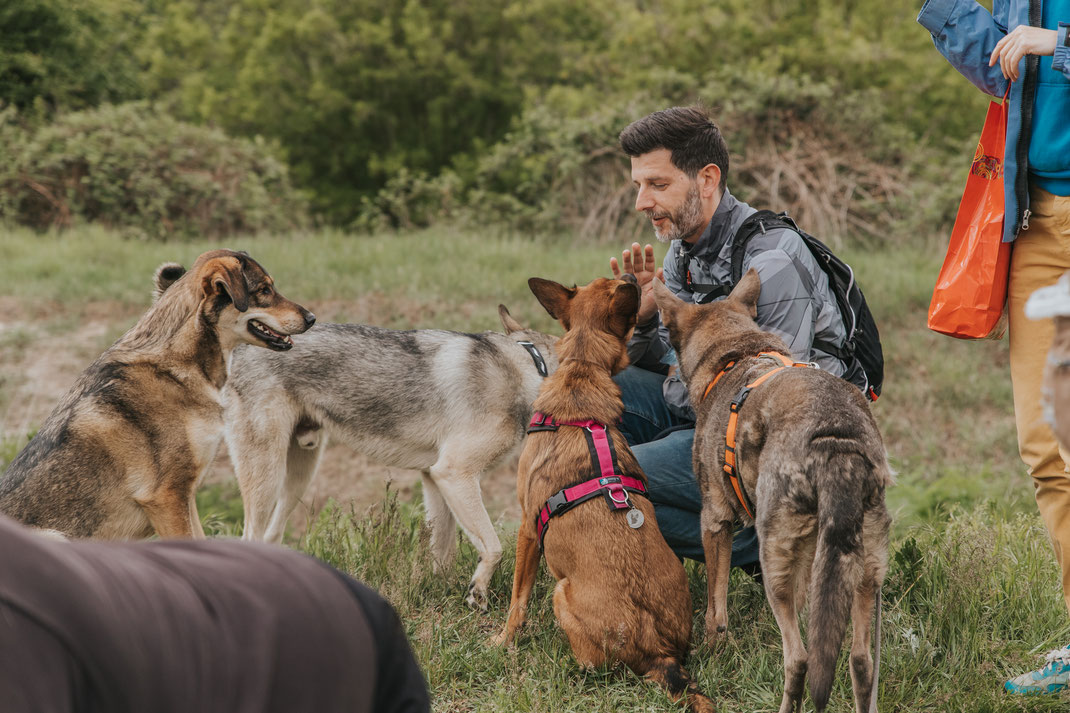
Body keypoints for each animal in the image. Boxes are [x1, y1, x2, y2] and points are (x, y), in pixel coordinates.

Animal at [224, 306, 560, 603]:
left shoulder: (435, 479)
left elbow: (443, 556)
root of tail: (238, 351)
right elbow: (493, 548)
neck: (529, 366)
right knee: (250, 539)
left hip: (299, 477)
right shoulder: (454, 474)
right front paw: (476, 594)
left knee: (270, 538)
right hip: (268, 478)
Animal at [494, 274, 714, 710]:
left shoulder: (527, 528)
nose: (632, 277)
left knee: (594, 667)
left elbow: (517, 600)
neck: (582, 370)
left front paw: (503, 640)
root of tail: (661, 653)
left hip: (561, 593)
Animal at [654, 267, 890, 710]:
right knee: (861, 661)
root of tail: (836, 442)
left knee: (799, 659)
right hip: (863, 569)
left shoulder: (715, 520)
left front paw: (712, 651)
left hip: (774, 557)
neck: (736, 354)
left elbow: (715, 607)